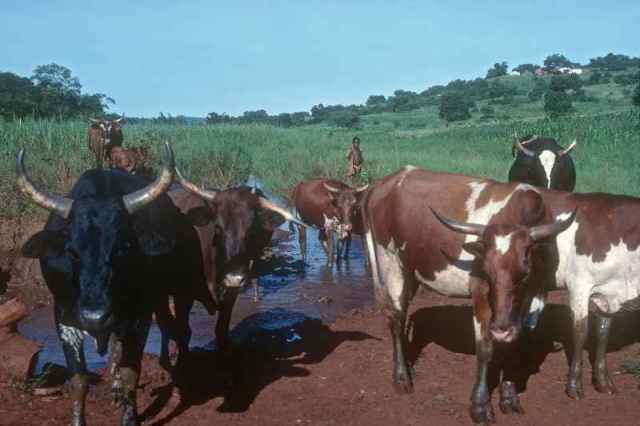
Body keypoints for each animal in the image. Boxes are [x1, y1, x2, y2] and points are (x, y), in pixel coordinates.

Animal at [360, 166, 576, 422]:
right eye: (487, 272)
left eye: (524, 273)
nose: (500, 328)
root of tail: (386, 181)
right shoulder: (481, 295)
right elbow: (485, 349)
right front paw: (480, 405)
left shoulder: (531, 297)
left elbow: (515, 344)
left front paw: (509, 398)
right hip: (390, 261)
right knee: (395, 317)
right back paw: (402, 377)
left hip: (411, 268)